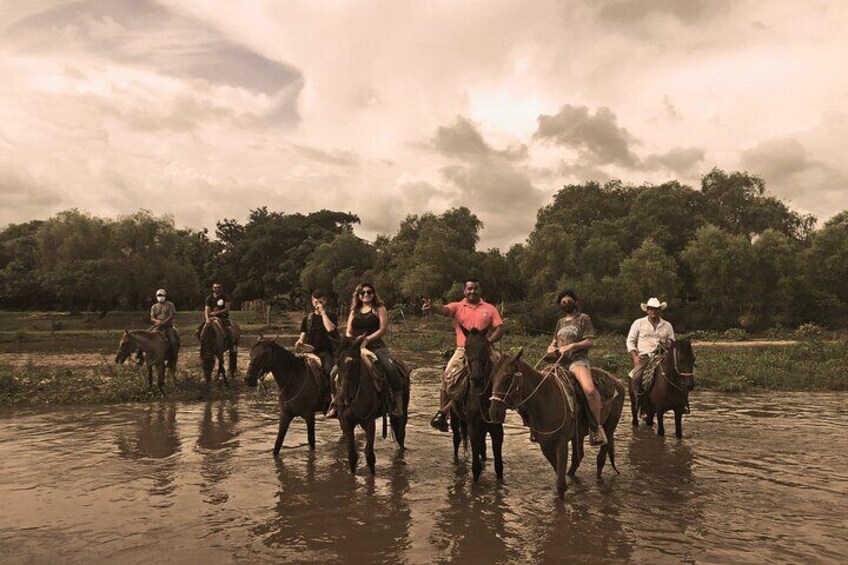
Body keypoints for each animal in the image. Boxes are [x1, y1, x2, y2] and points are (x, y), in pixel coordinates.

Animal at [332, 338, 410, 474]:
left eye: (356, 363)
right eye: (338, 362)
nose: (344, 397)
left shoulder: (369, 422)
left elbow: (369, 455)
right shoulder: (346, 423)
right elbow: (352, 456)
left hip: (402, 411)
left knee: (400, 435)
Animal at [450, 328, 504, 482]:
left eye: (485, 347)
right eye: (467, 347)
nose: (477, 378)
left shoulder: (497, 429)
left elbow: (499, 467)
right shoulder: (473, 427)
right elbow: (475, 468)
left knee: (482, 448)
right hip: (455, 418)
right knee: (457, 439)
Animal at [490, 348, 624, 498]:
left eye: (508, 378)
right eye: (492, 378)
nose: (493, 413)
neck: (546, 399)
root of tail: (617, 381)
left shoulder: (561, 441)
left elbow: (560, 484)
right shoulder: (545, 444)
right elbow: (559, 475)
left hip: (610, 427)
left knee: (600, 459)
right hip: (578, 435)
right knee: (577, 459)